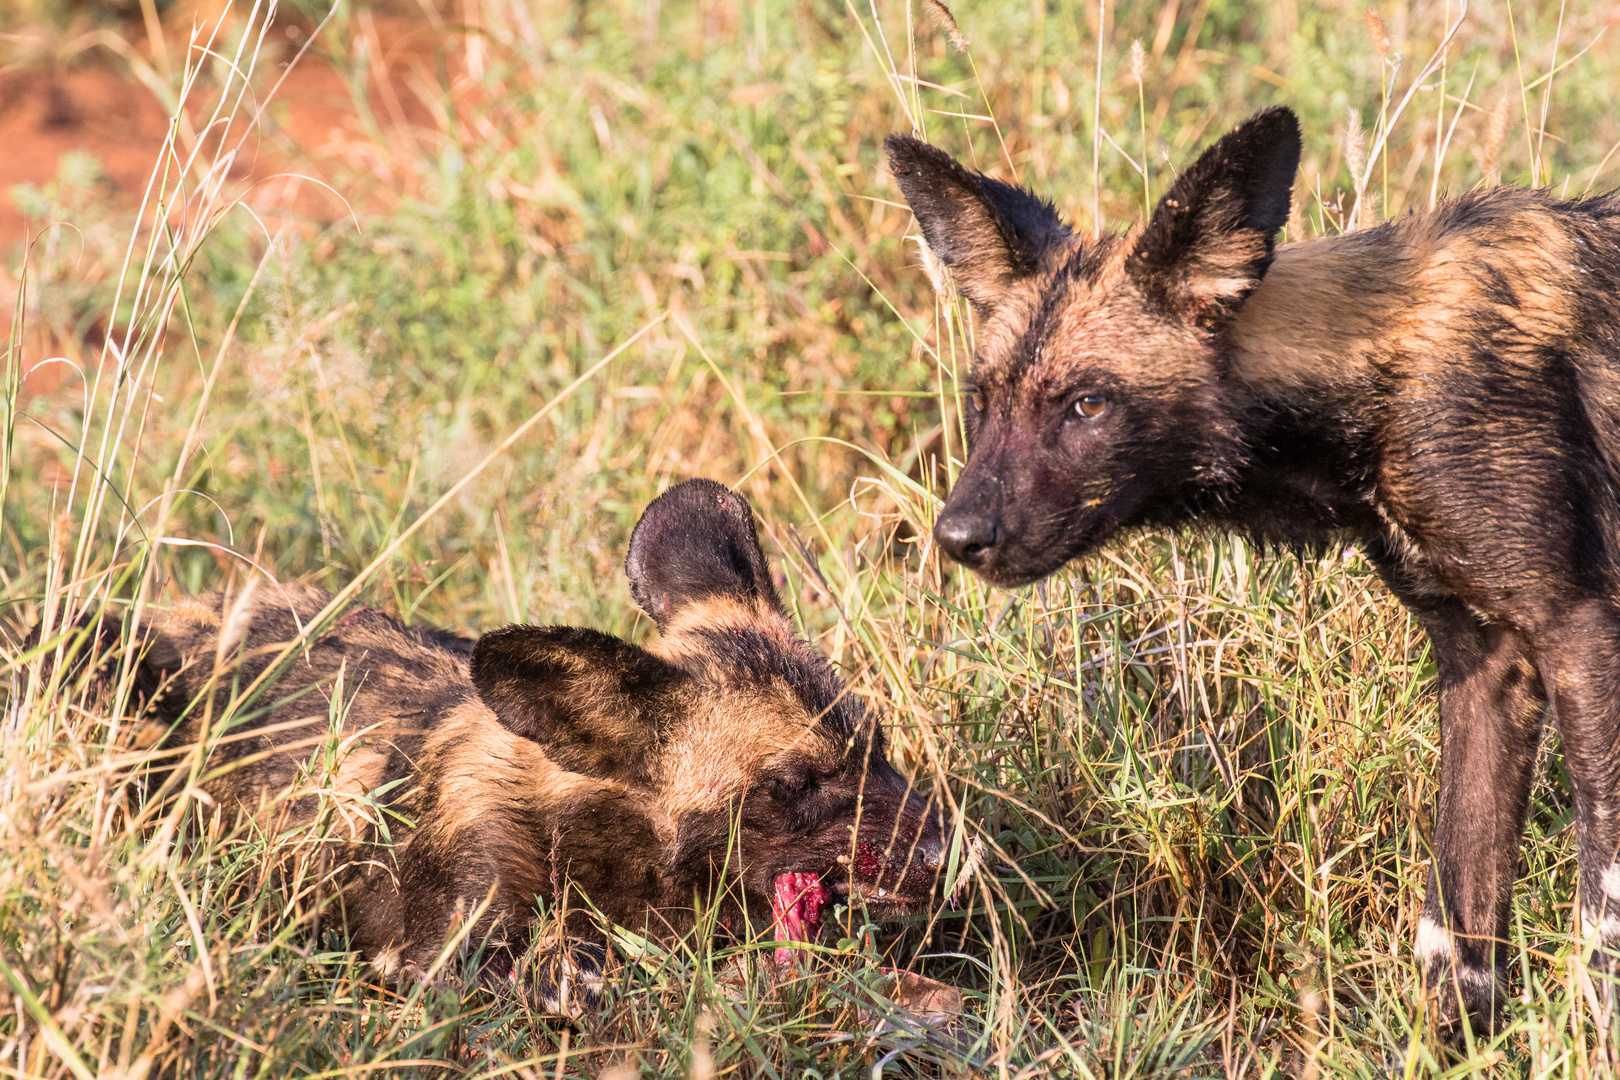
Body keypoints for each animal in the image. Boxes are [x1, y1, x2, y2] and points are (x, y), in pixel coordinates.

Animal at [887, 105, 1620, 1036]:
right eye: (983, 400)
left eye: (1087, 404)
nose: (958, 537)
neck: (1379, 379)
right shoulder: (1488, 662)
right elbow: (1457, 938)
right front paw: (1445, 1047)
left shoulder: (1581, 634)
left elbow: (1602, 918)